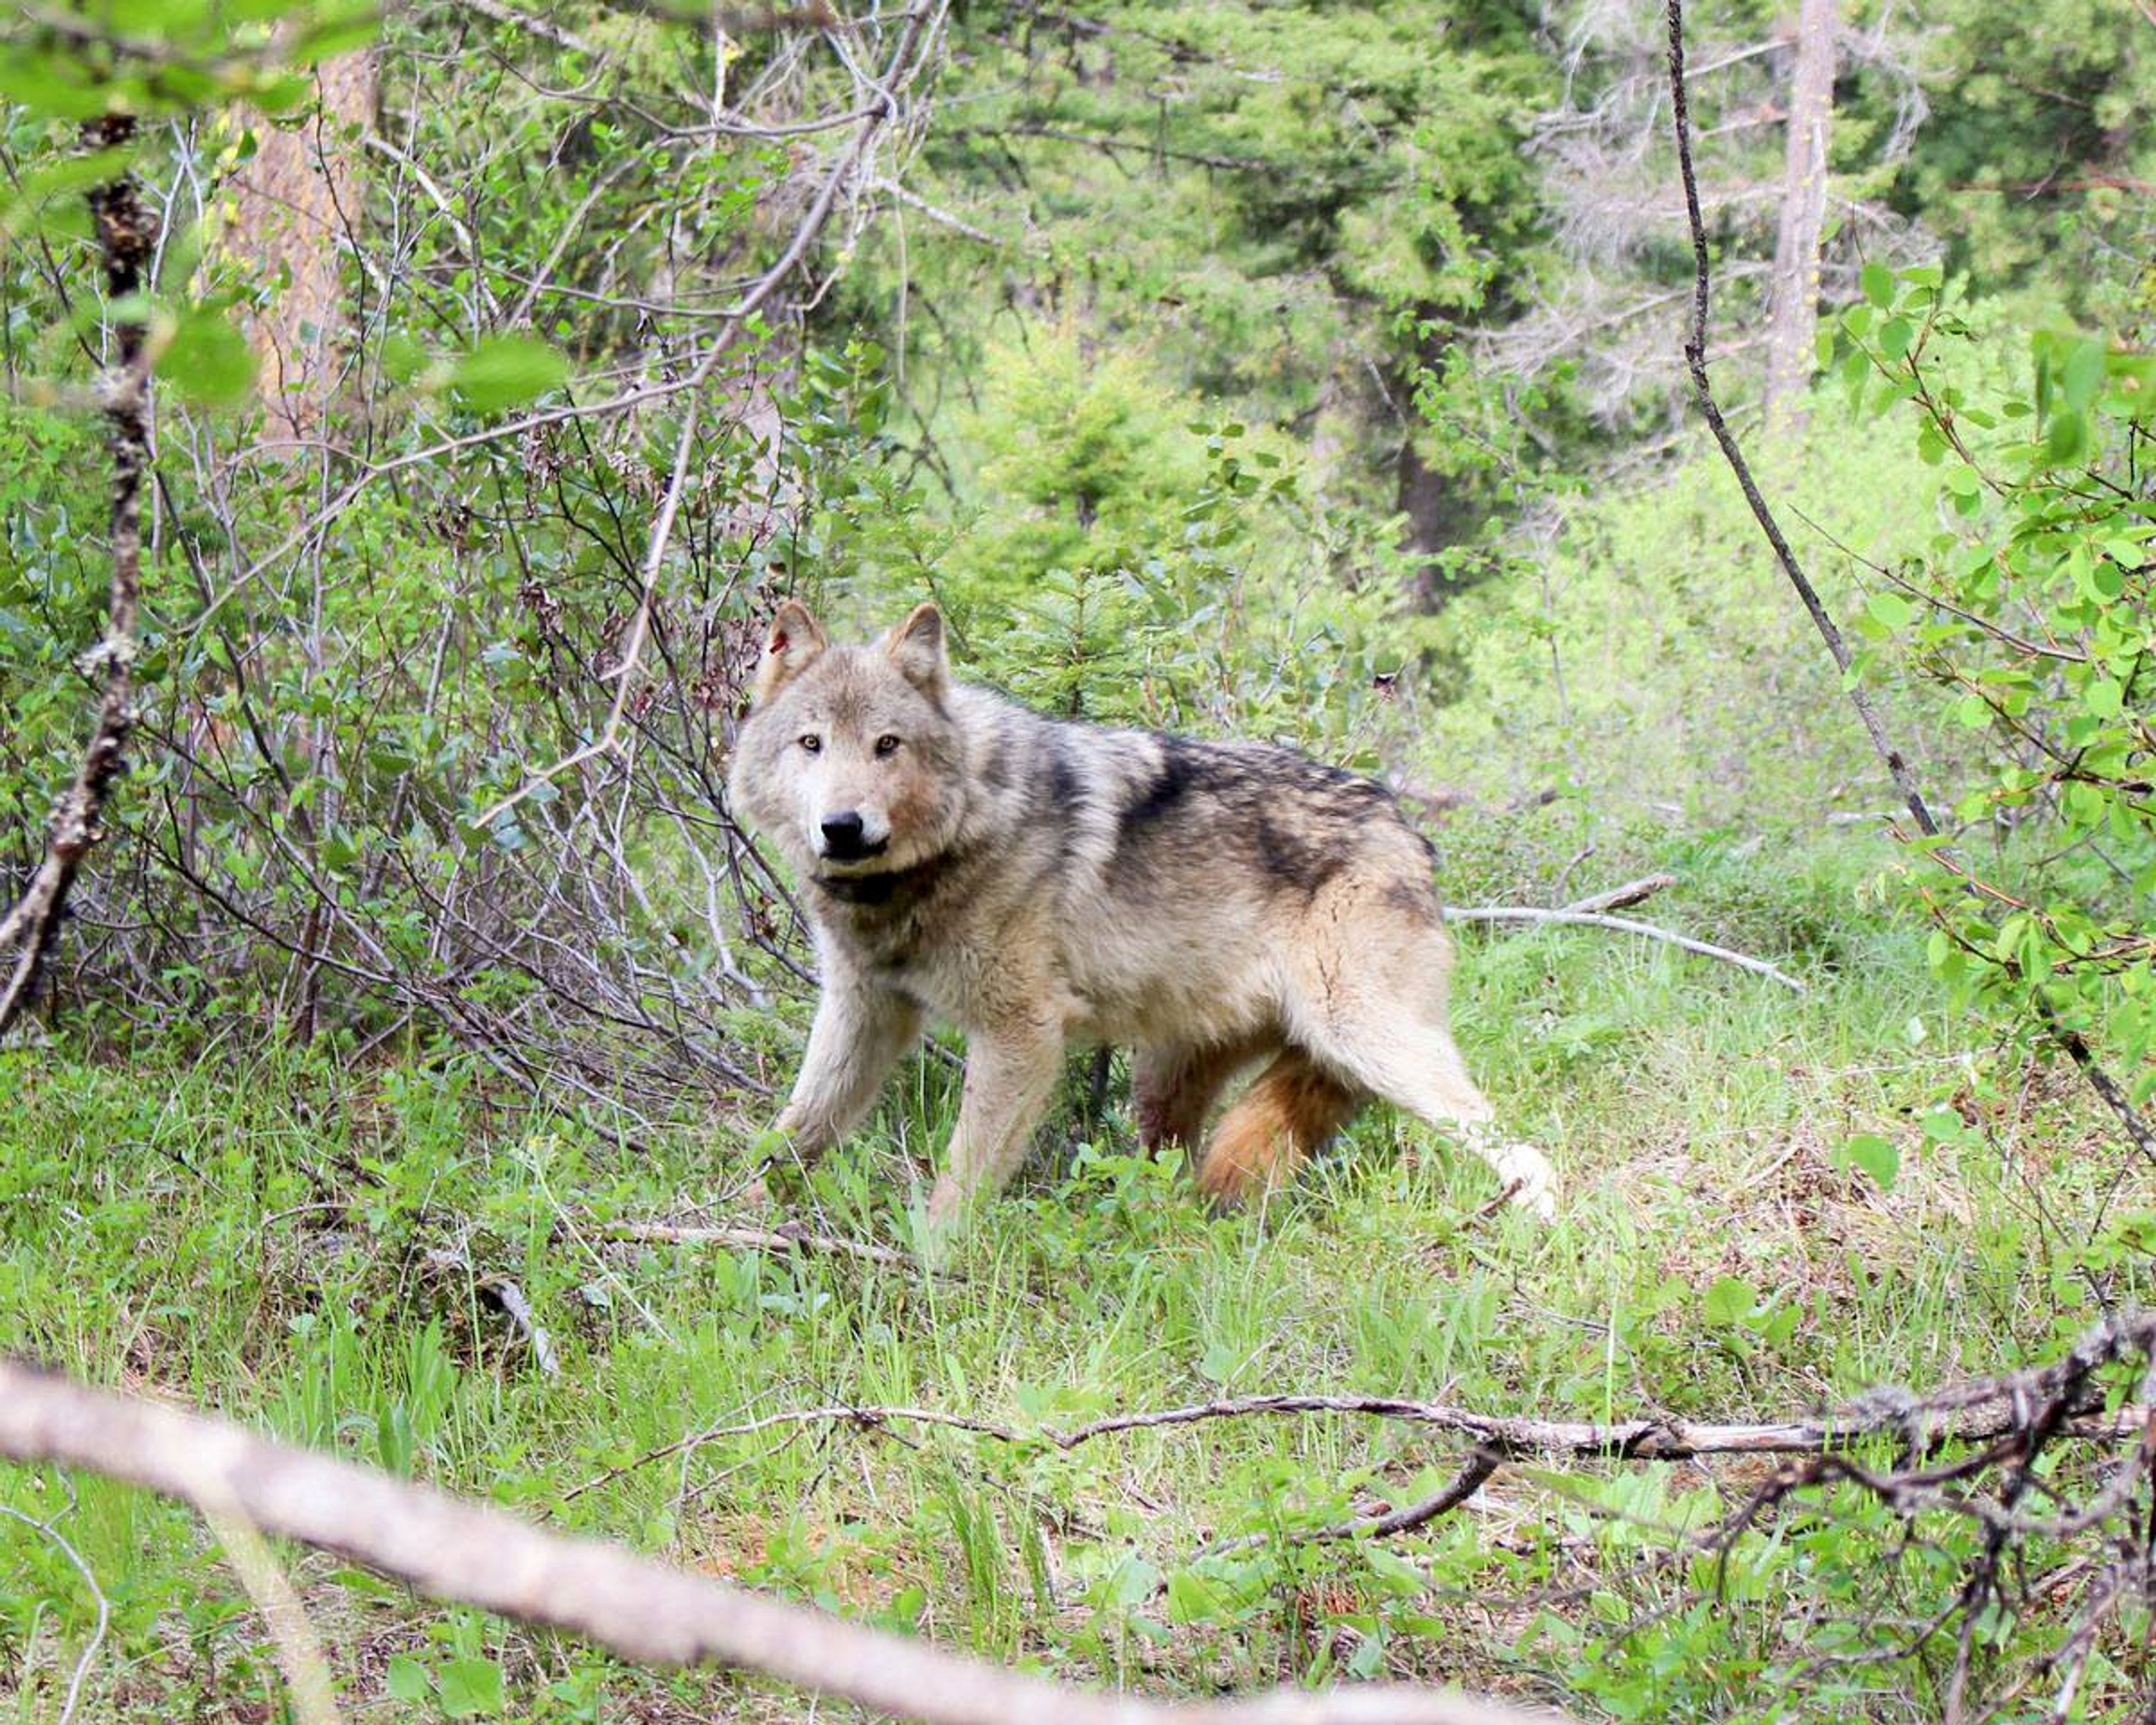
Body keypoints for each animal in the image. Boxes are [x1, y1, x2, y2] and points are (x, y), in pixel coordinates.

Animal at [724, 599, 1552, 1233]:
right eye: (811, 744)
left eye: (887, 746)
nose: (843, 827)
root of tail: (1408, 830)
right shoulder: (863, 1012)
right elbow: (792, 1132)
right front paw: (732, 1220)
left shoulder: (1022, 1034)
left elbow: (962, 1179)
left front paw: (932, 1265)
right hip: (1170, 1080)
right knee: (1174, 1171)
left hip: (1366, 1041)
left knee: (1528, 1150)